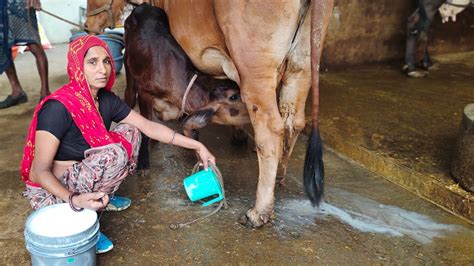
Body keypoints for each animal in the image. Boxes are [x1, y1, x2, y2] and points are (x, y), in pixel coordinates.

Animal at [87, 0, 336, 229]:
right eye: (233, 97)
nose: (89, 26)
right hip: (302, 63)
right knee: (293, 120)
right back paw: (279, 179)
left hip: (255, 67)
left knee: (271, 128)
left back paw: (259, 211)